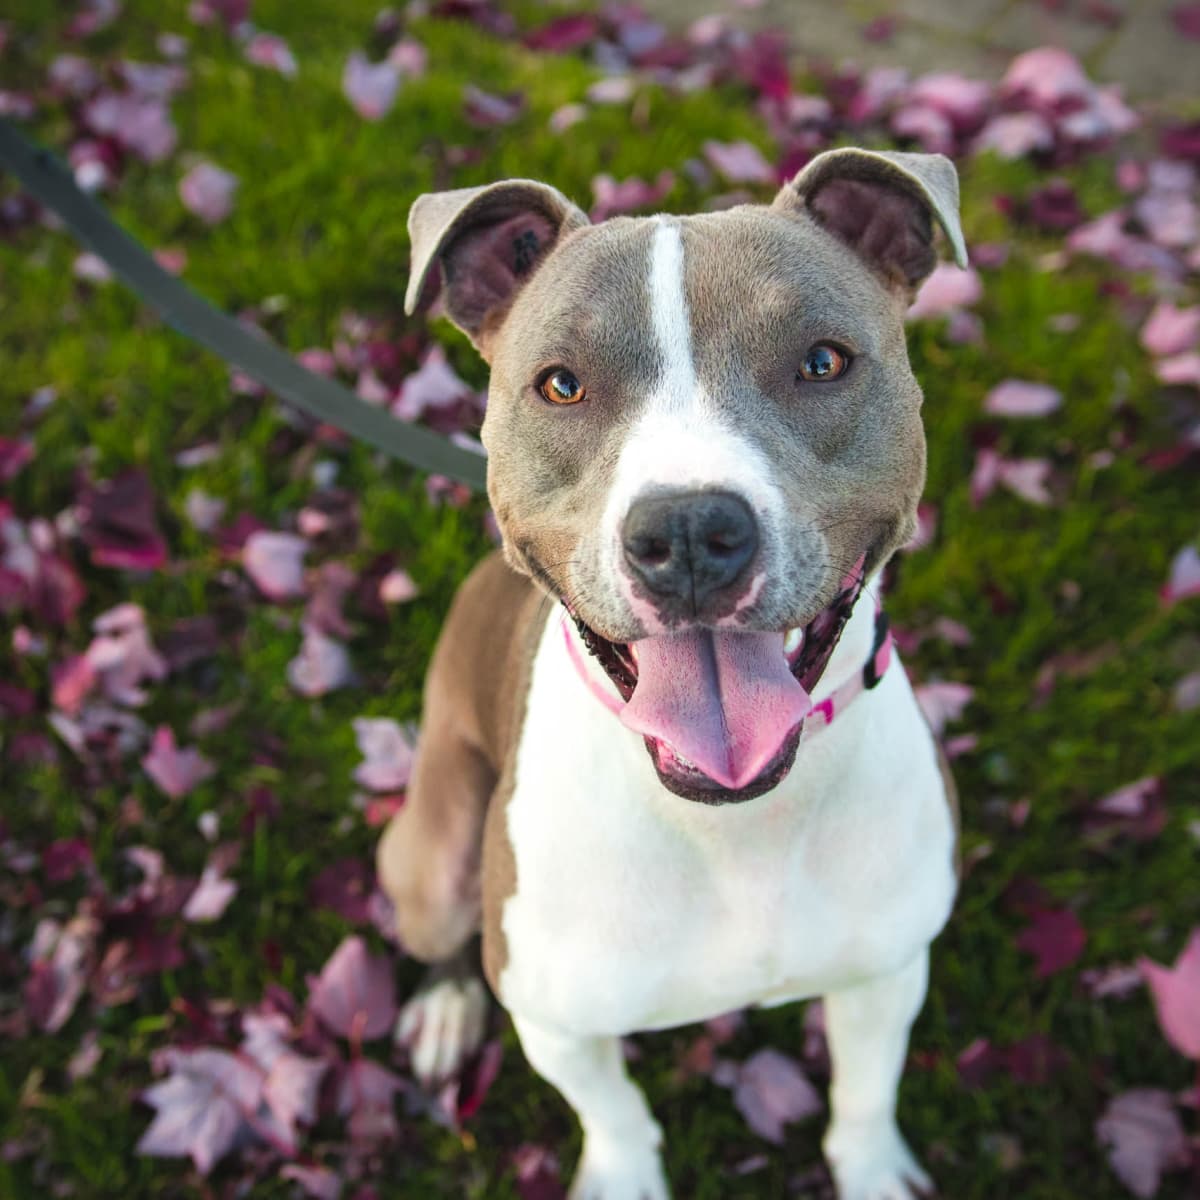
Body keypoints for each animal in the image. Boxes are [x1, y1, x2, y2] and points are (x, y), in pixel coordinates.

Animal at [379, 147, 969, 1200]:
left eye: (823, 361)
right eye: (561, 385)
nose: (691, 529)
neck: (735, 819)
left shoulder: (887, 971)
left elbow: (864, 1097)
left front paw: (870, 1172)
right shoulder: (558, 1022)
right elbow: (615, 1115)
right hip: (433, 856)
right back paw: (446, 1010)